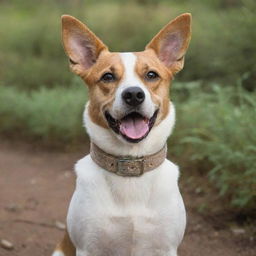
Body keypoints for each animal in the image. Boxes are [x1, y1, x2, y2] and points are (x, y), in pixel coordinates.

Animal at [53, 12, 191, 256]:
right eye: (108, 77)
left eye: (151, 75)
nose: (134, 94)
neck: (130, 166)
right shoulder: (87, 248)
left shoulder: (166, 247)